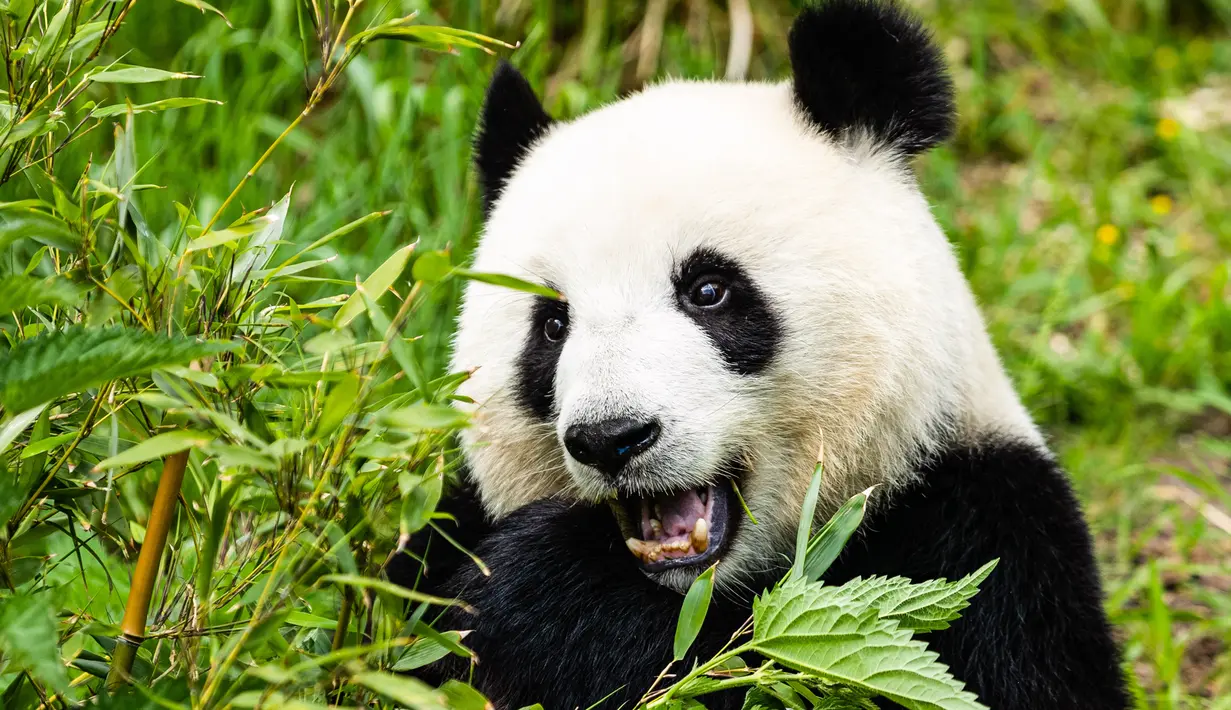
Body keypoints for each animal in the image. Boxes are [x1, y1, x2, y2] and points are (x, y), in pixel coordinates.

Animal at [389, 0, 1131, 707]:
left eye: (708, 290)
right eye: (551, 324)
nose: (610, 437)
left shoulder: (984, 532)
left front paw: (549, 588)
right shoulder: (446, 522)